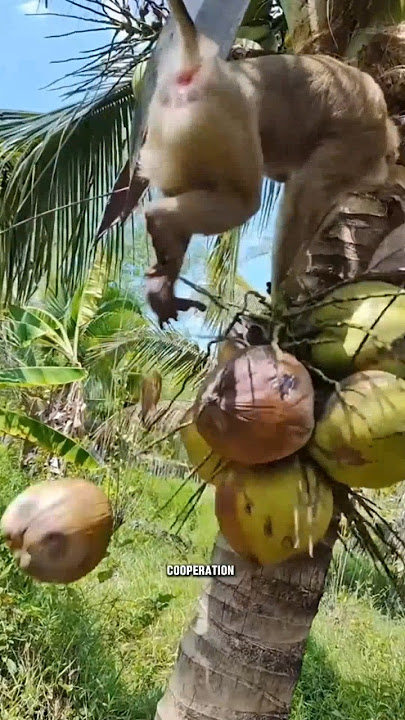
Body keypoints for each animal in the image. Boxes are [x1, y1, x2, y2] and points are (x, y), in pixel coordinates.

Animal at [138, 0, 400, 324]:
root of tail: (201, 65)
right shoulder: (360, 145)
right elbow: (304, 191)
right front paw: (281, 301)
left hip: (173, 128)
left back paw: (163, 280)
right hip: (220, 118)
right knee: (243, 202)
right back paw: (161, 222)